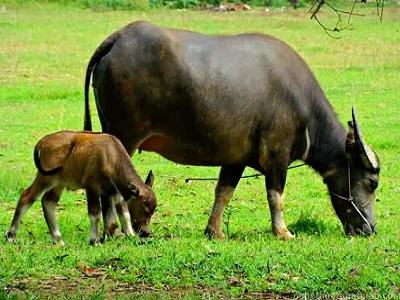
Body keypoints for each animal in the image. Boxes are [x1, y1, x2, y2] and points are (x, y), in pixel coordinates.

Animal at [6, 130, 156, 245]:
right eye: (144, 208)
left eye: (153, 211)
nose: (145, 232)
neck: (112, 157)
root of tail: (44, 141)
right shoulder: (92, 186)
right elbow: (95, 213)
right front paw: (94, 240)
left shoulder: (113, 191)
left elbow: (121, 214)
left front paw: (126, 235)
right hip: (45, 178)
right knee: (27, 196)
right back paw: (10, 236)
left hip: (58, 183)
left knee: (48, 201)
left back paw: (58, 239)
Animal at [83, 21, 378, 240]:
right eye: (372, 182)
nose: (370, 228)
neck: (302, 106)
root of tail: (118, 38)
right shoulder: (277, 156)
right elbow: (276, 196)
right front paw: (282, 232)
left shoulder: (236, 160)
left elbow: (223, 192)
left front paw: (214, 231)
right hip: (124, 137)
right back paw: (117, 231)